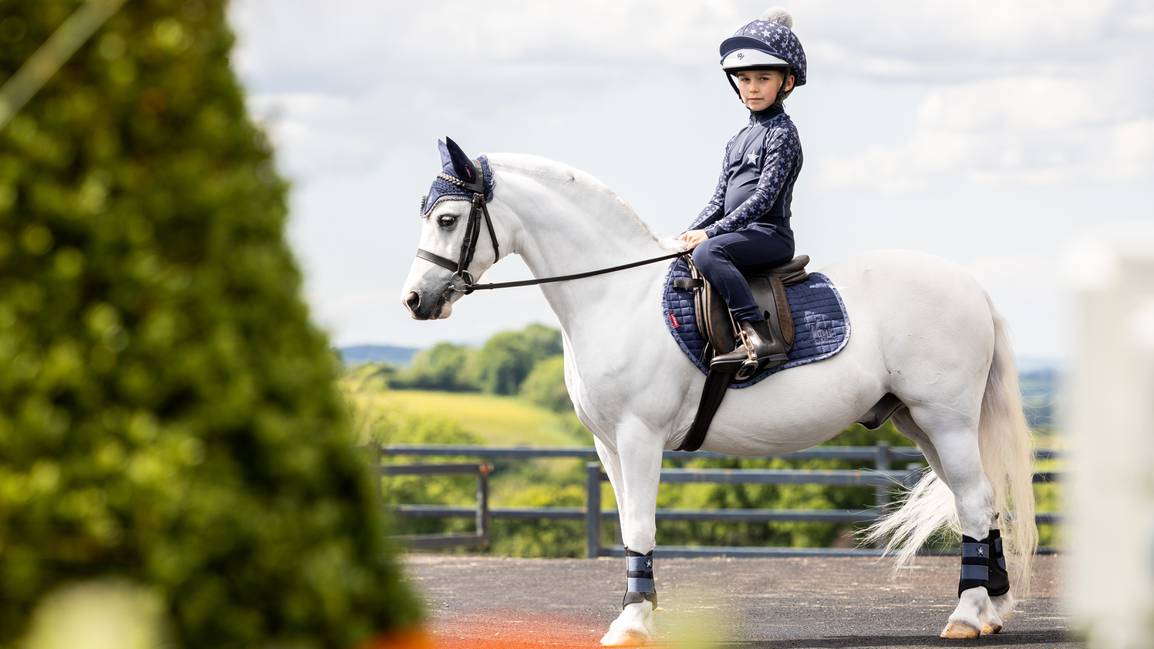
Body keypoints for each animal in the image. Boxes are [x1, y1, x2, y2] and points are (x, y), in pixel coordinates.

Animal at [403, 141, 1038, 642]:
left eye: (447, 219)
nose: (414, 300)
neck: (618, 297)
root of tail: (972, 287)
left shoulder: (639, 437)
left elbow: (641, 525)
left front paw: (634, 624)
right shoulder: (608, 445)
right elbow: (628, 524)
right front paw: (632, 616)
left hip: (945, 420)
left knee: (975, 501)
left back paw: (966, 615)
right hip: (921, 423)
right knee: (978, 501)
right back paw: (991, 609)